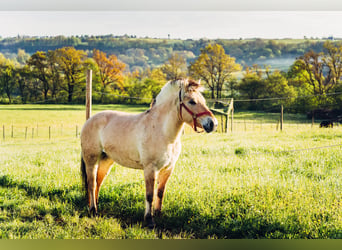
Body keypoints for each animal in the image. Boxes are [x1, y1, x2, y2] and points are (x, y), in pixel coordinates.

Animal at [80, 79, 218, 228]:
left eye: (203, 100)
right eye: (192, 101)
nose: (213, 124)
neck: (162, 132)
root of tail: (89, 120)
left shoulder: (168, 169)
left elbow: (160, 192)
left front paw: (158, 214)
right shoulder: (150, 169)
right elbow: (150, 195)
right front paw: (149, 220)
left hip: (107, 160)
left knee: (98, 183)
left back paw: (94, 206)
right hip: (91, 160)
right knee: (91, 183)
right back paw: (93, 210)